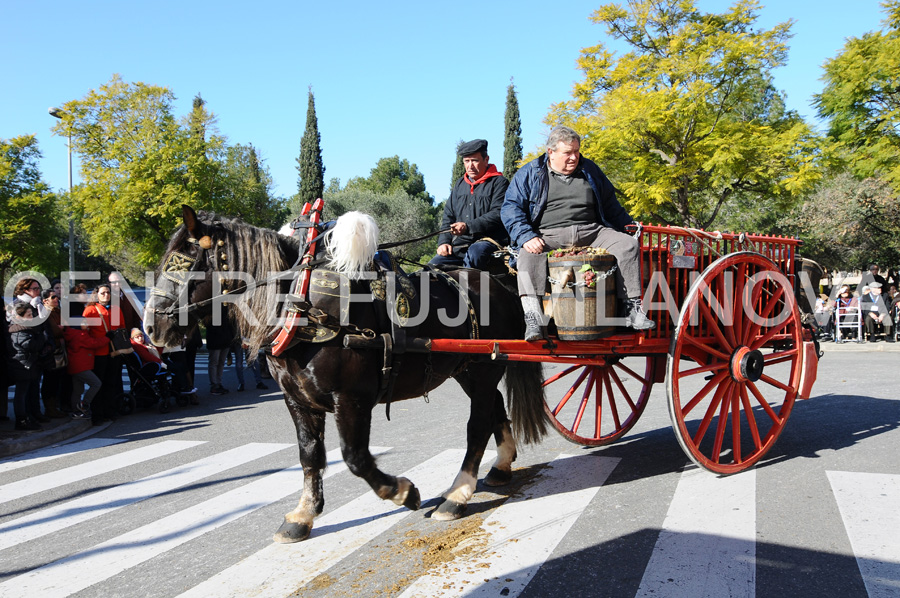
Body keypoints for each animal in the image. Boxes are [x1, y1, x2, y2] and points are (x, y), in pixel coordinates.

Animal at [143, 205, 548, 544]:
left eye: (185, 265)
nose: (150, 328)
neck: (301, 306)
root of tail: (500, 282)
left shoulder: (351, 398)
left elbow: (355, 457)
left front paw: (402, 491)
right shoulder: (297, 398)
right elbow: (310, 455)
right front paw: (303, 515)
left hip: (483, 369)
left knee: (477, 426)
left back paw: (457, 495)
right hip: (467, 369)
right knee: (494, 406)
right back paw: (501, 465)